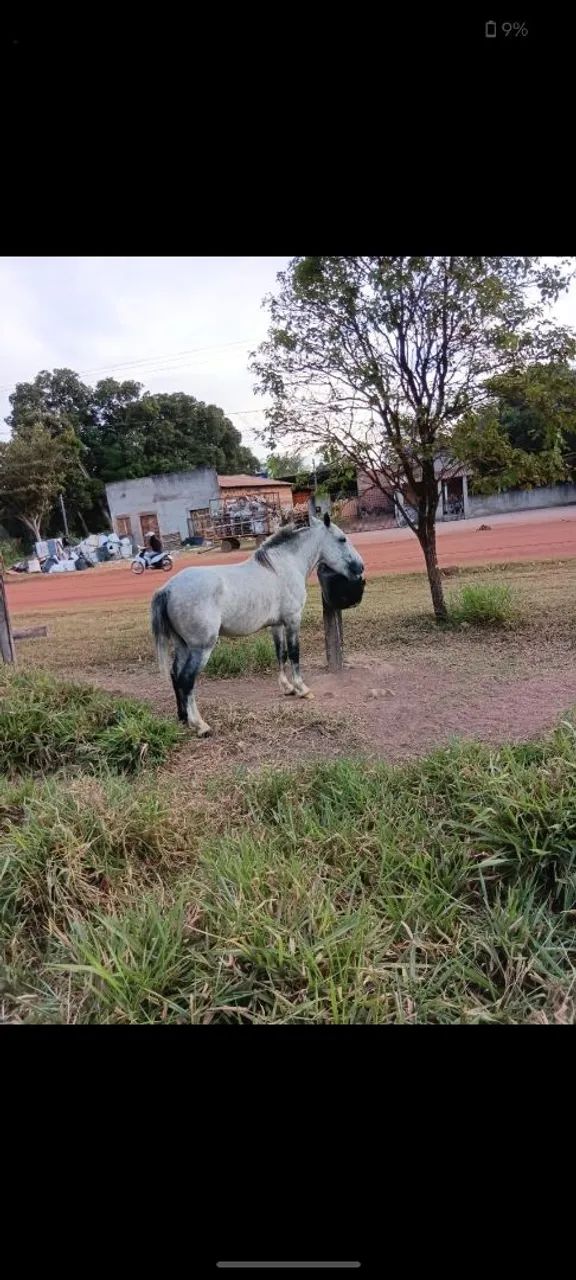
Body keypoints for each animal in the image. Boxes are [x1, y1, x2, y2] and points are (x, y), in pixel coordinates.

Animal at [150, 513, 364, 737]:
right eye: (342, 539)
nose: (361, 567)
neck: (284, 566)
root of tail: (168, 589)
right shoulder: (292, 620)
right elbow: (294, 654)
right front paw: (302, 689)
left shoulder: (276, 625)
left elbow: (281, 654)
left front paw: (287, 688)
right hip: (201, 648)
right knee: (186, 680)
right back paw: (200, 725)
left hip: (183, 645)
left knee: (175, 675)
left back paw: (183, 717)